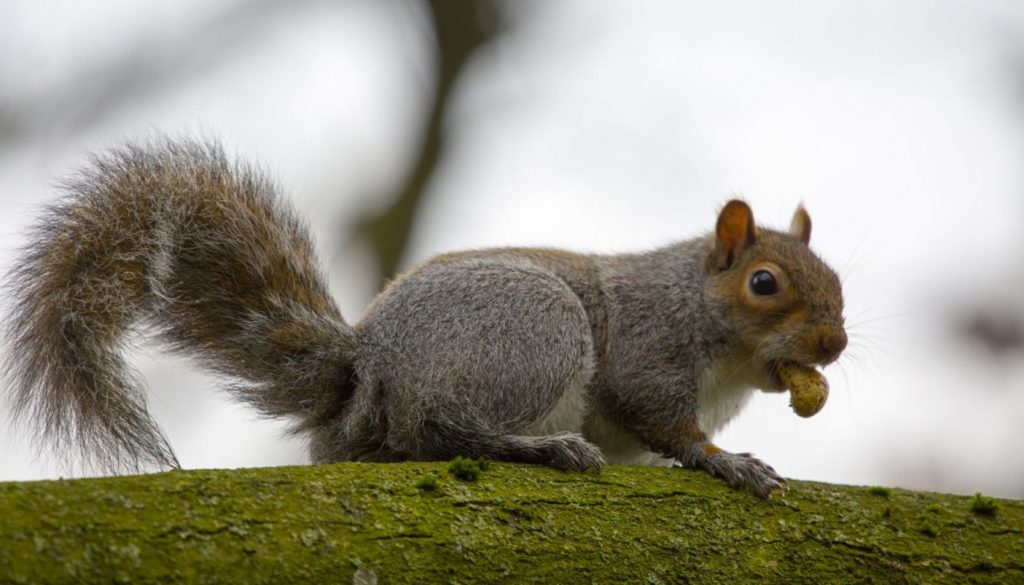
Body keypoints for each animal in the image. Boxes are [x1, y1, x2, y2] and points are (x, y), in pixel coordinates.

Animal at [3, 138, 847, 499]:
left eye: (839, 283)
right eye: (764, 283)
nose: (833, 344)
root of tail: (365, 367)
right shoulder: (652, 347)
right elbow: (665, 420)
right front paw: (729, 462)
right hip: (540, 330)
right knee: (435, 428)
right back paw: (542, 447)